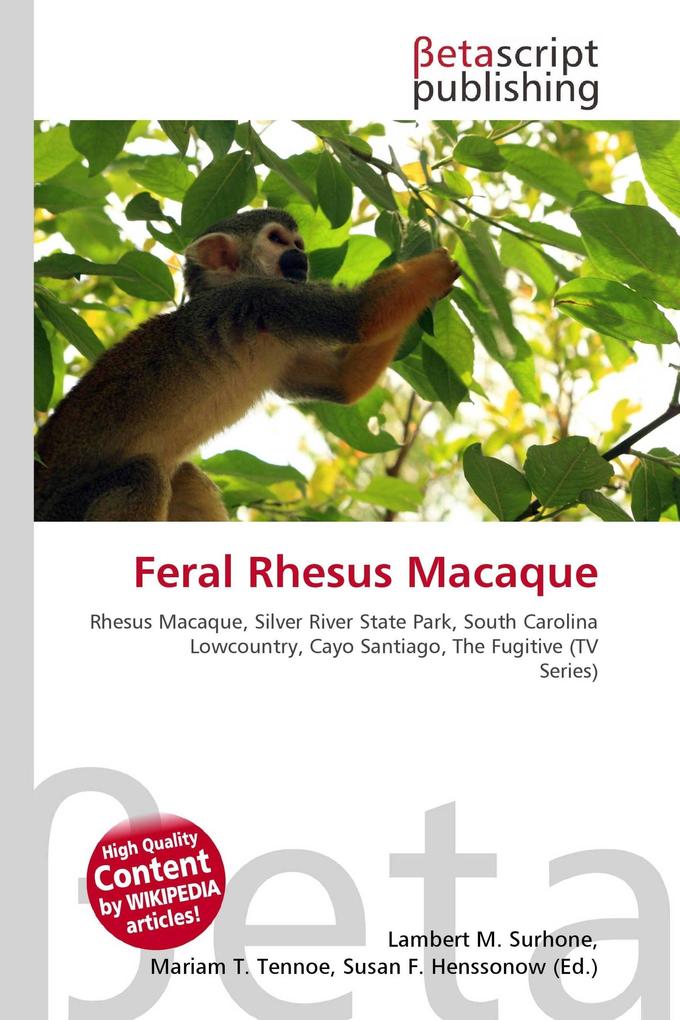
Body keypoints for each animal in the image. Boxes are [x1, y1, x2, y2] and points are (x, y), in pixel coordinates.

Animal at [34, 207, 461, 521]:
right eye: (277, 240)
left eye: (298, 243)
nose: (301, 256)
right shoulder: (260, 298)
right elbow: (356, 316)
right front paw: (438, 264)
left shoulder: (284, 347)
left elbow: (343, 383)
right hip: (61, 513)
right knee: (145, 476)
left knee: (182, 476)